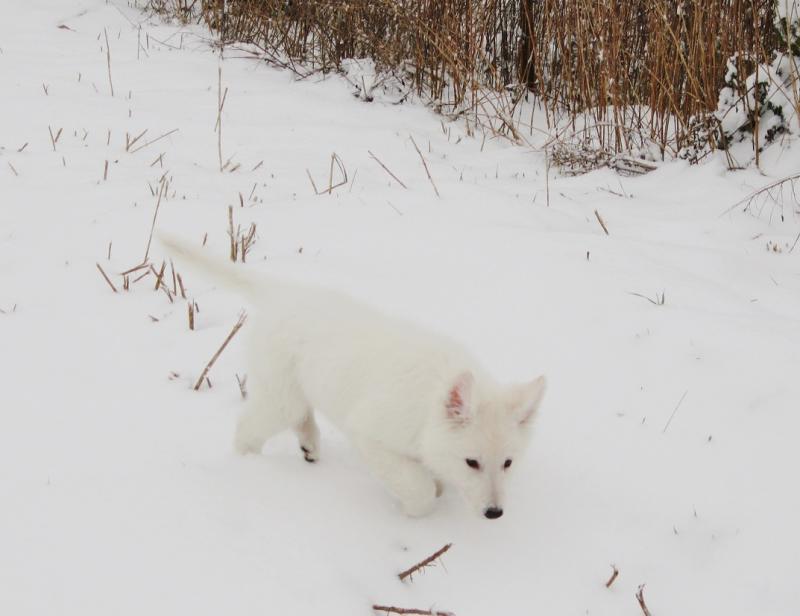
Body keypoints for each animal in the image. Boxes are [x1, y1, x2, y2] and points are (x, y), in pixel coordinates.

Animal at [163, 236, 552, 520]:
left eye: (508, 463)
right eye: (472, 462)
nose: (494, 513)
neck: (428, 404)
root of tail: (281, 293)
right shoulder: (370, 435)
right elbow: (419, 488)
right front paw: (415, 507)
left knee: (302, 416)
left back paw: (309, 447)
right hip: (280, 396)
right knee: (251, 427)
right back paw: (251, 465)